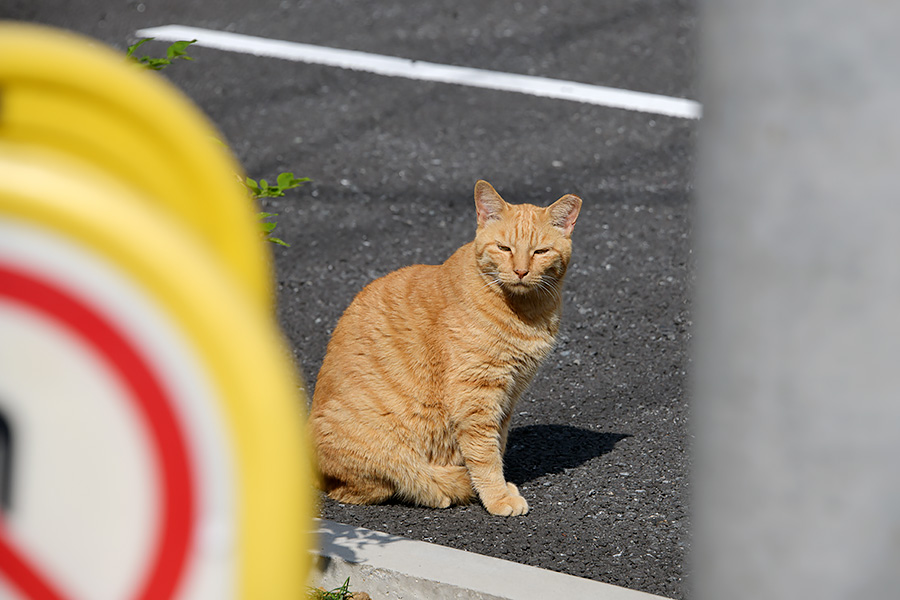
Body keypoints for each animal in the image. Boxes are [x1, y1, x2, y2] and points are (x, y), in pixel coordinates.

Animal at [310, 178, 584, 516]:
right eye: (504, 248)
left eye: (541, 251)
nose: (521, 271)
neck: (527, 311)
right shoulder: (476, 393)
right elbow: (484, 453)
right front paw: (497, 496)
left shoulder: (509, 392)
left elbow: (499, 442)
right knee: (379, 484)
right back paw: (440, 488)